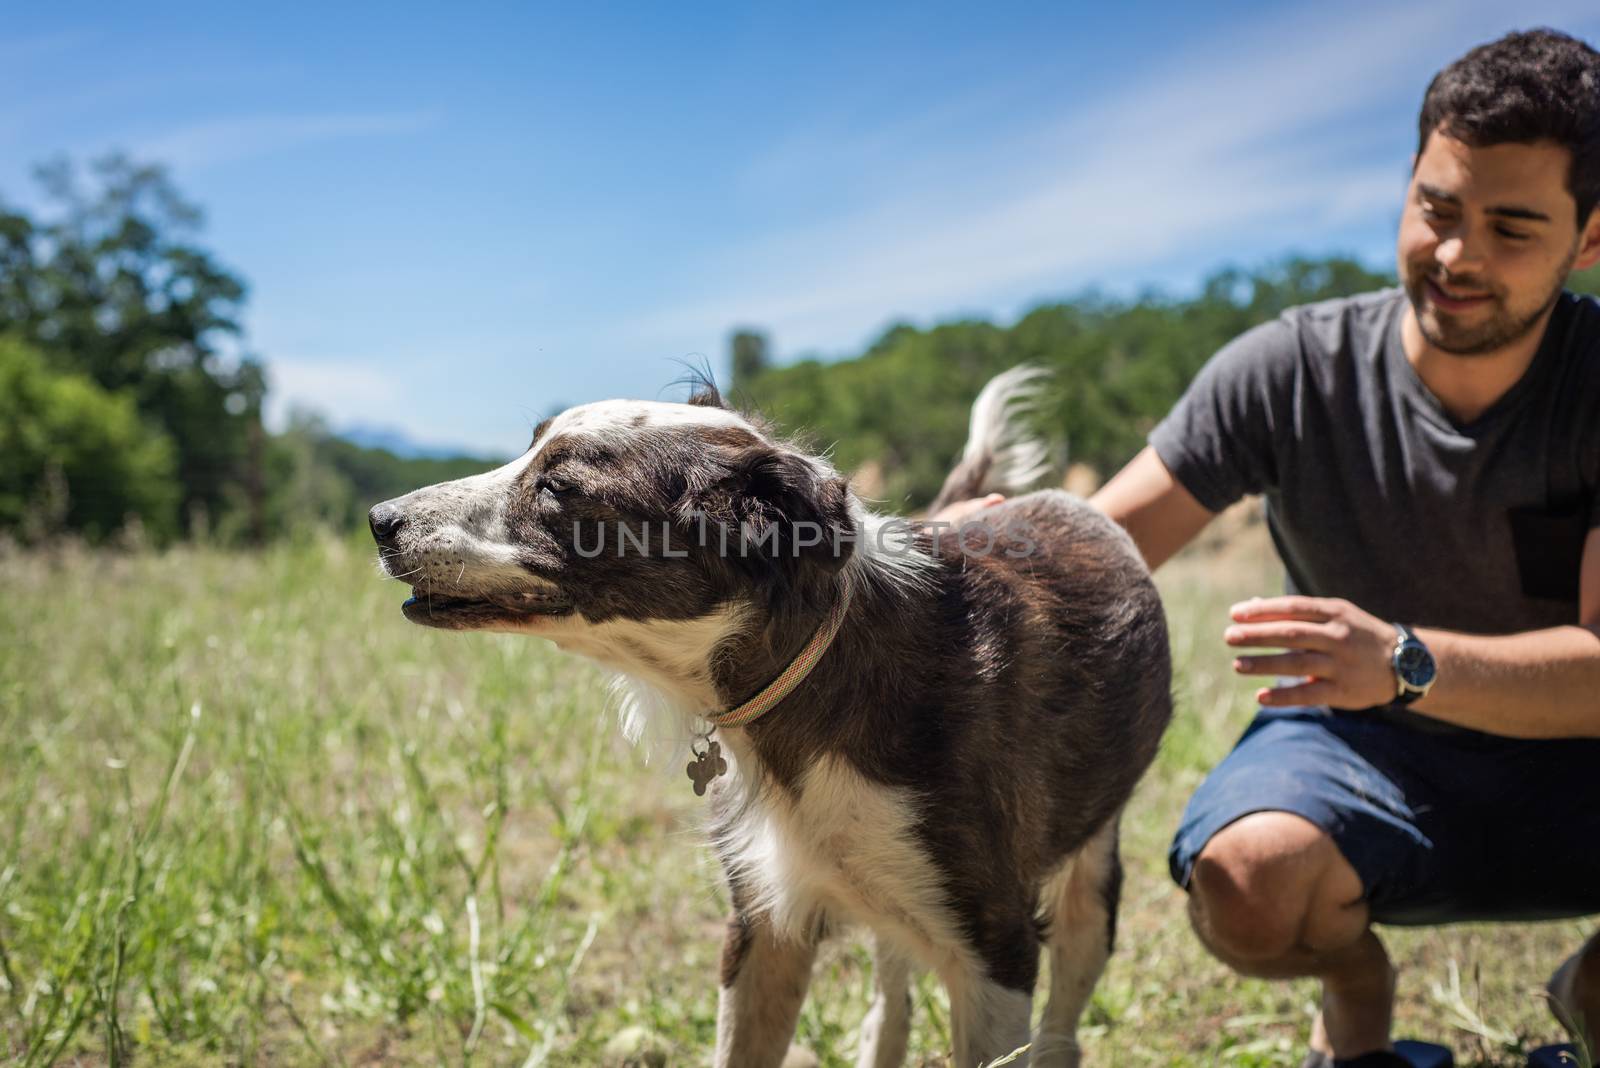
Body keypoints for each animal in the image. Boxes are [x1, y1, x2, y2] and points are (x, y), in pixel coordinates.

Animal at [368, 369, 1171, 1068]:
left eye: (559, 488)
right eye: (529, 448)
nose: (379, 520)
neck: (819, 681)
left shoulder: (997, 950)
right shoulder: (765, 924)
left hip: (1089, 884)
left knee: (1063, 1022)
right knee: (892, 996)